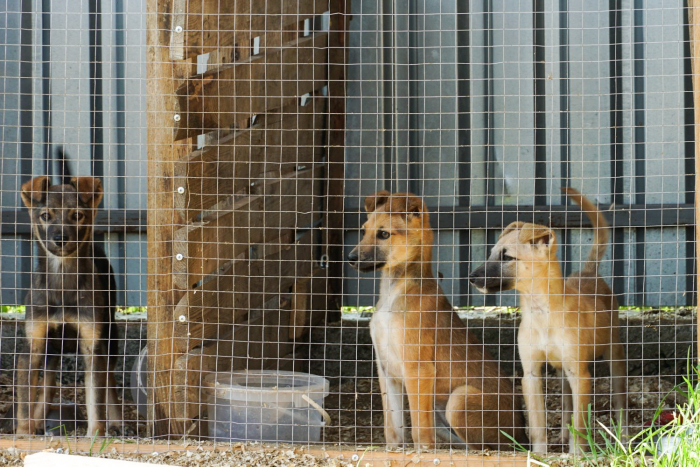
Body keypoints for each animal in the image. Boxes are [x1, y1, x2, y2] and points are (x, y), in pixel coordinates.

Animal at [18, 163, 121, 436]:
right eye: (45, 216)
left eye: (77, 215)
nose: (60, 238)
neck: (63, 279)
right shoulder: (32, 346)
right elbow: (26, 399)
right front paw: (23, 432)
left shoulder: (92, 346)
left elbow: (95, 399)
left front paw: (95, 435)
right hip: (51, 348)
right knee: (49, 381)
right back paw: (39, 419)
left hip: (111, 334)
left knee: (110, 379)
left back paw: (117, 421)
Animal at [348, 192, 528, 452]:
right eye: (364, 230)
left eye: (383, 234)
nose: (350, 258)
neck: (395, 290)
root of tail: (523, 434)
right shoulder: (386, 371)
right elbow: (393, 428)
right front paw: (394, 451)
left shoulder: (418, 370)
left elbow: (419, 429)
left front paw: (422, 452)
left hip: (459, 399)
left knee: (485, 447)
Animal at [468, 188, 628, 456]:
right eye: (490, 254)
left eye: (506, 257)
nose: (471, 278)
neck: (541, 312)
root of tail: (589, 273)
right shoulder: (531, 375)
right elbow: (538, 422)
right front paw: (540, 454)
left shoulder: (580, 374)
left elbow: (580, 423)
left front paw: (576, 454)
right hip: (562, 372)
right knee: (566, 404)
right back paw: (563, 434)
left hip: (614, 357)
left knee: (618, 402)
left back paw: (623, 437)